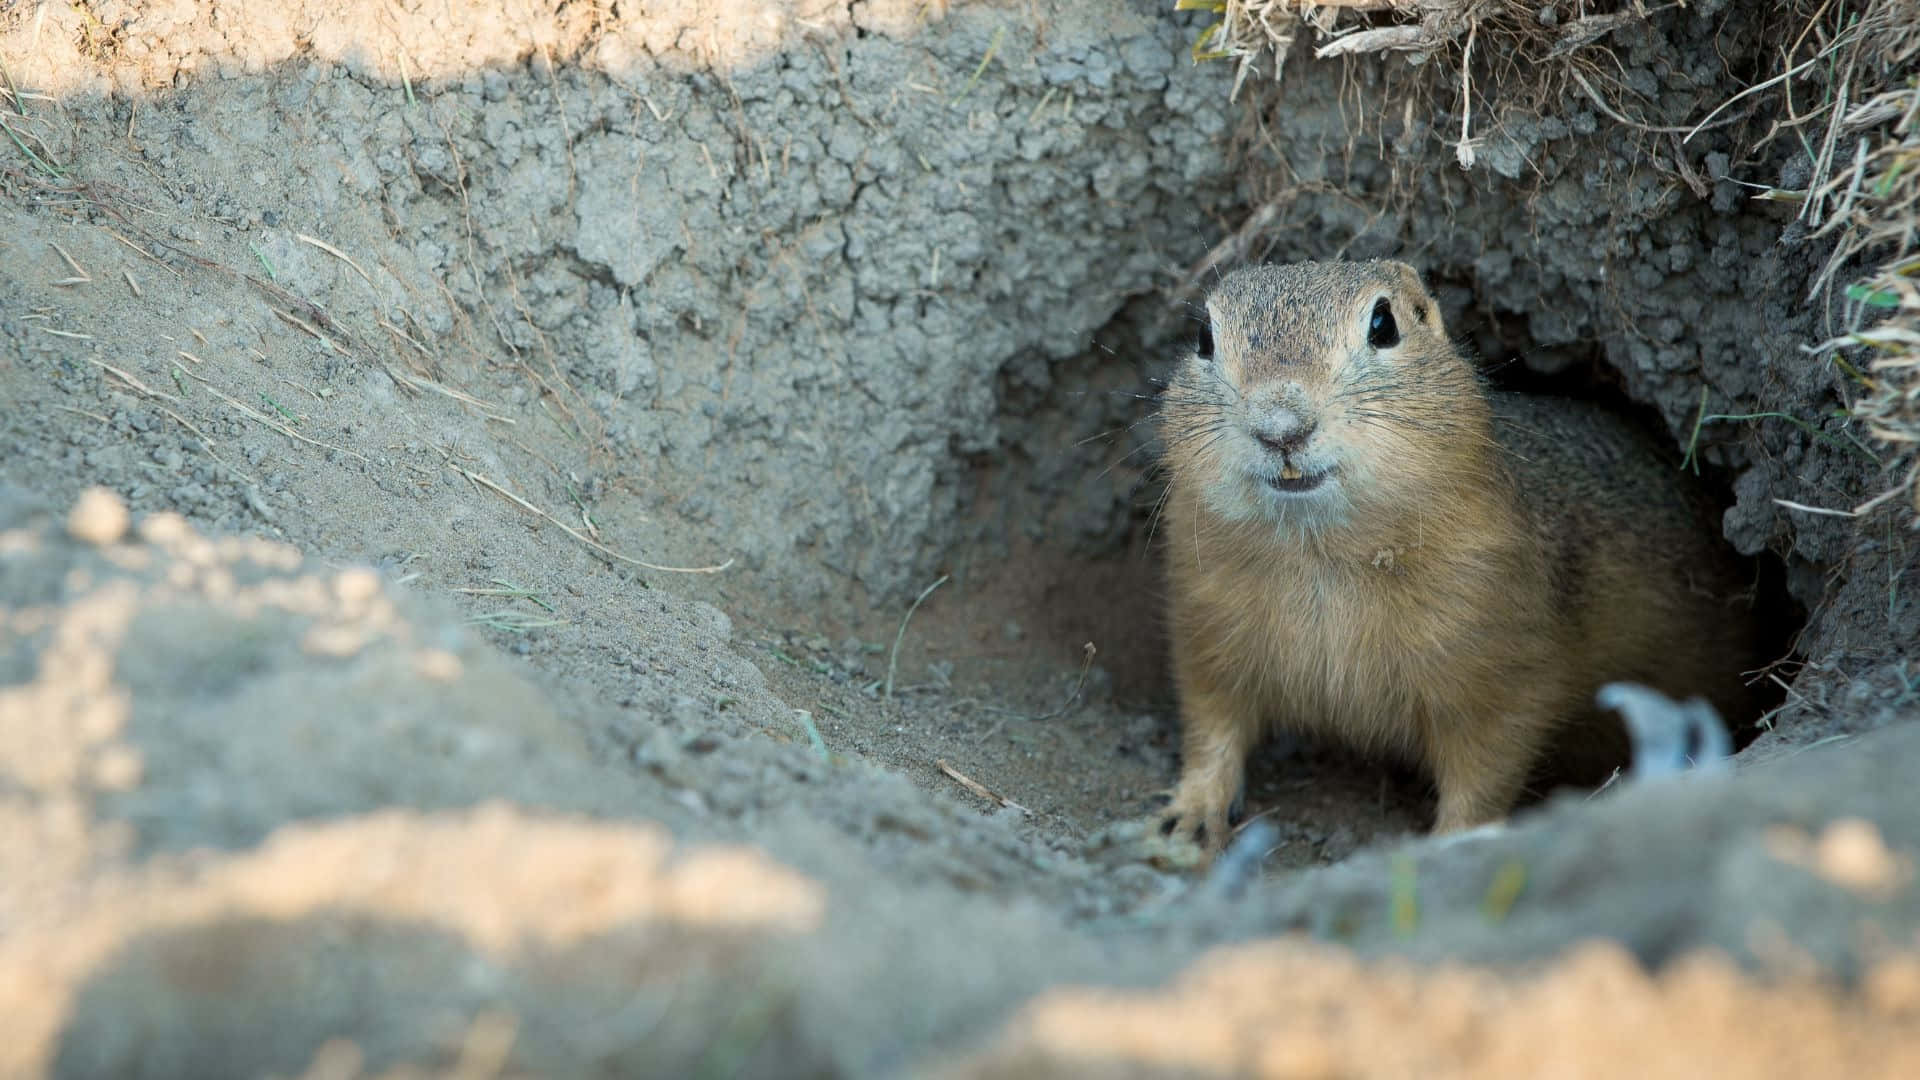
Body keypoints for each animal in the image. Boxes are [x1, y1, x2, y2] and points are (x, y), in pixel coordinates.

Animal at [1144, 261, 1758, 849]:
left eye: (1383, 324)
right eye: (1203, 337)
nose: (1281, 428)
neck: (1320, 554)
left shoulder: (1499, 662)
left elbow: (1485, 768)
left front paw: (1450, 843)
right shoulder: (1205, 627)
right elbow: (1211, 726)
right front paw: (1187, 816)